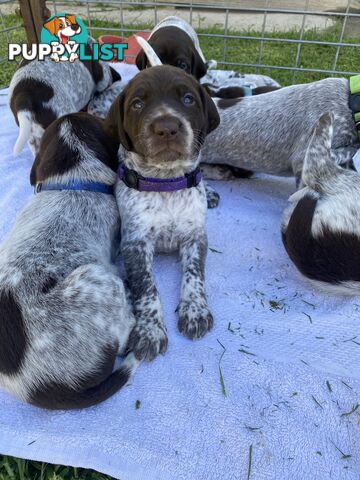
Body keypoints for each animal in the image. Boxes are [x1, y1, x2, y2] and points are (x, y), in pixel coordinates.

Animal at [105, 65, 221, 362]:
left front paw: (195, 311)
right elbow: (146, 287)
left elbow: (194, 275)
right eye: (137, 104)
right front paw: (149, 331)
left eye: (188, 99)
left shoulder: (195, 237)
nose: (166, 128)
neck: (166, 182)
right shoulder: (135, 244)